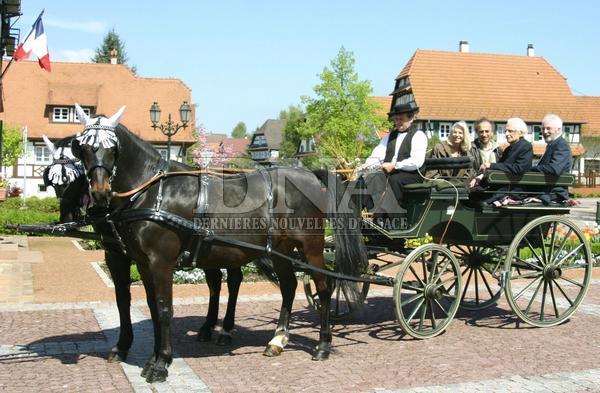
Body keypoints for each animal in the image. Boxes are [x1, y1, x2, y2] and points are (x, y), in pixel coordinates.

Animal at [68, 103, 364, 380]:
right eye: (84, 148)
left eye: (112, 148)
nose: (100, 192)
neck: (152, 191)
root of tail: (311, 175)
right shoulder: (138, 261)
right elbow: (146, 306)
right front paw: (147, 356)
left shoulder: (160, 262)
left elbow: (164, 308)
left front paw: (161, 363)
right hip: (280, 250)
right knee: (288, 286)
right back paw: (277, 339)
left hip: (311, 248)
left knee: (324, 288)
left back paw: (323, 345)